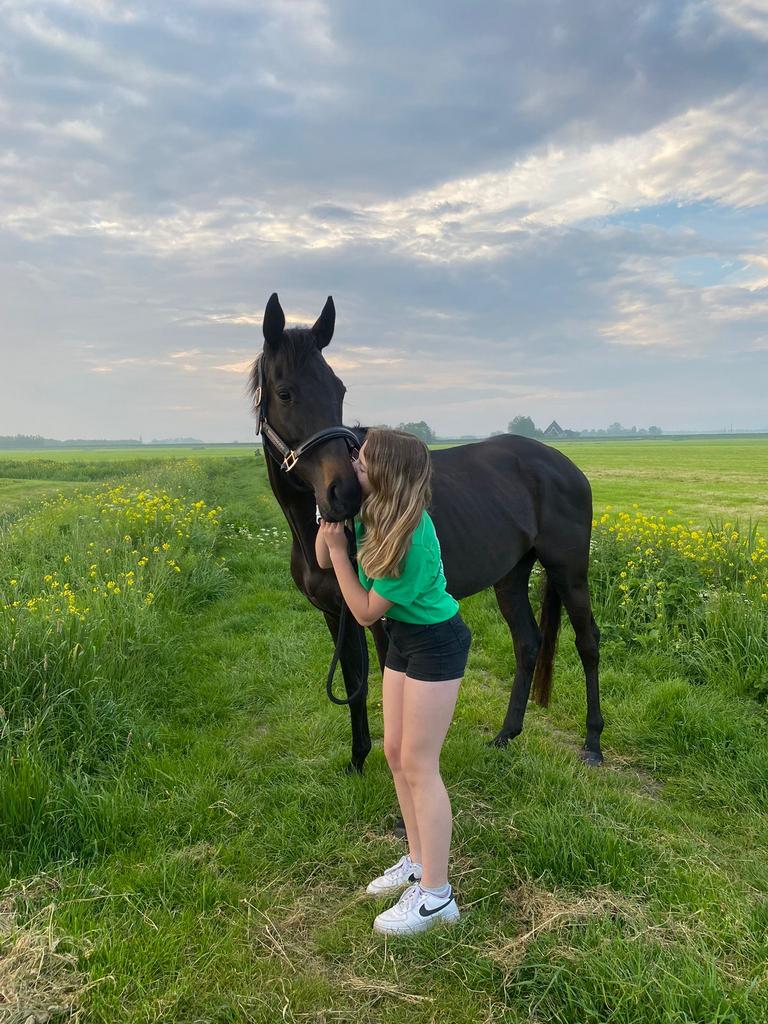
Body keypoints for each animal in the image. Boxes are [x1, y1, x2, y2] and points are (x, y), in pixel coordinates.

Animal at [249, 293, 604, 772]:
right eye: (285, 393)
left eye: (339, 390)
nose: (345, 493)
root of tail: (565, 465)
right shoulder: (336, 614)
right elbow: (354, 681)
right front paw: (358, 761)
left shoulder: (381, 620)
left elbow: (384, 682)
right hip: (510, 575)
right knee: (528, 642)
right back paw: (506, 735)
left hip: (569, 571)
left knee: (588, 642)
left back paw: (593, 743)